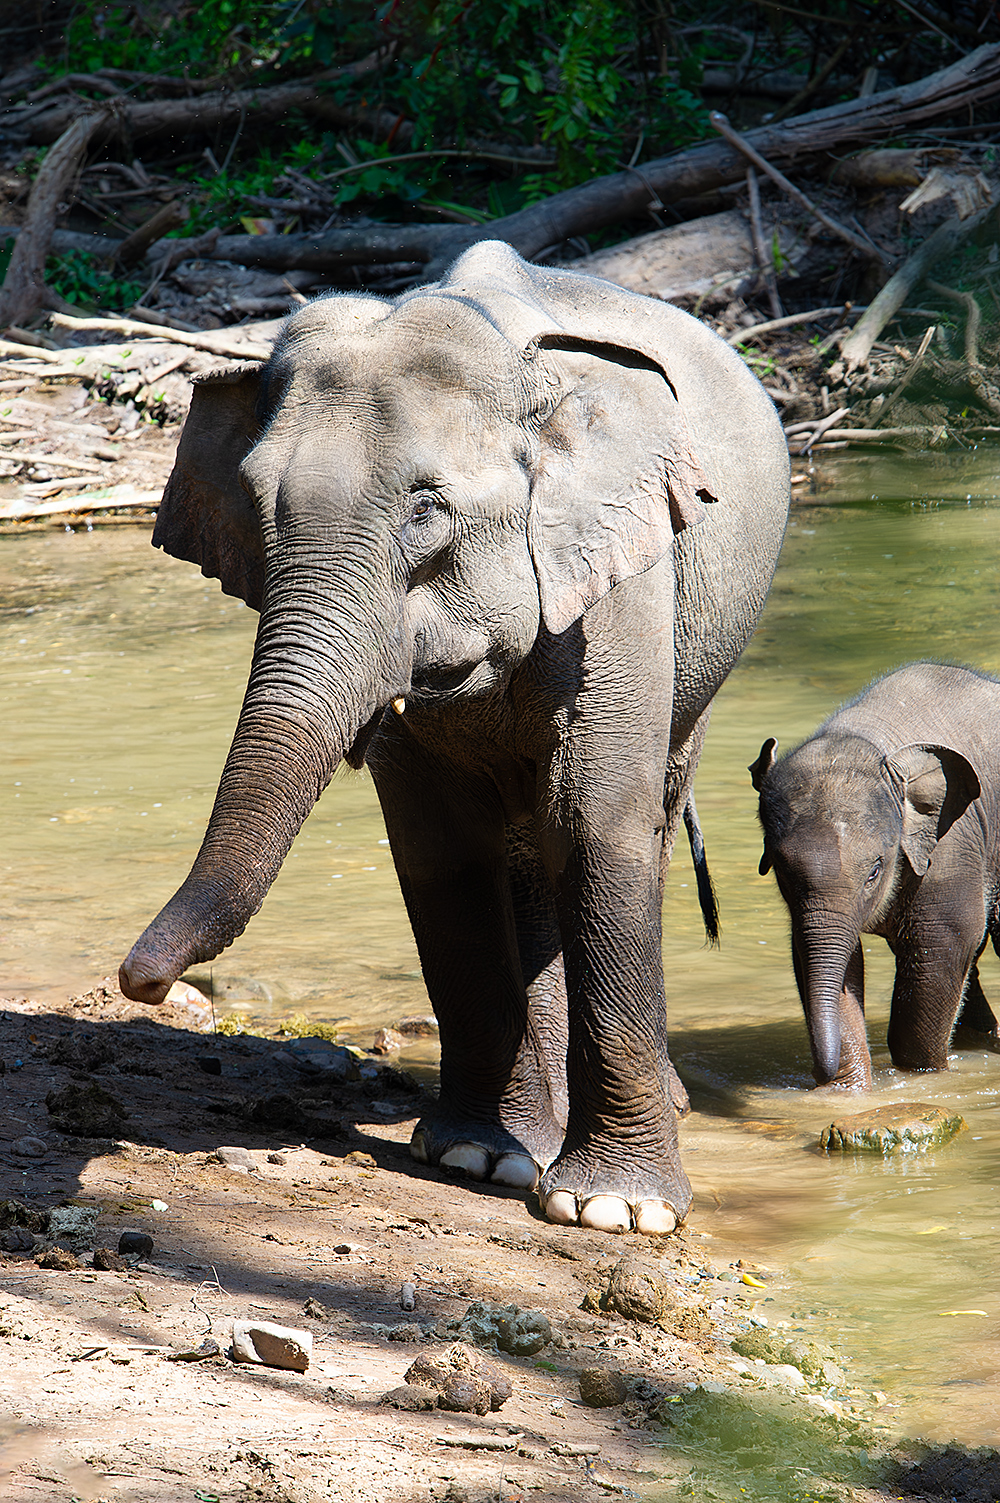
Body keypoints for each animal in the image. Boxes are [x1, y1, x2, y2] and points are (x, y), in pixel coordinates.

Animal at [118, 243, 787, 1232]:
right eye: (256, 507)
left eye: (424, 513)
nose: (143, 982)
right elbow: (439, 849)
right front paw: (475, 1157)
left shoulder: (623, 575)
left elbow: (596, 818)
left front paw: (615, 1211)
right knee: (523, 851)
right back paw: (536, 1128)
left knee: (628, 816)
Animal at [751, 664, 992, 1088]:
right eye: (780, 869)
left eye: (875, 871)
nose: (819, 1072)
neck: (867, 736)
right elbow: (826, 956)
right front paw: (849, 1089)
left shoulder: (952, 848)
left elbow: (946, 940)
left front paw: (922, 1075)